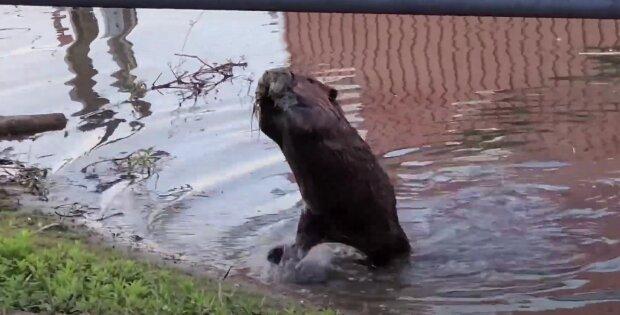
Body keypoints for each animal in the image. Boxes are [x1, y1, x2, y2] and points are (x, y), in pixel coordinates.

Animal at [254, 68, 410, 268]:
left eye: (309, 79)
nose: (271, 72)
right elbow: (266, 125)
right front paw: (262, 93)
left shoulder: (322, 117)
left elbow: (305, 118)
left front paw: (282, 91)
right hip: (311, 218)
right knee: (301, 243)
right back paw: (278, 254)